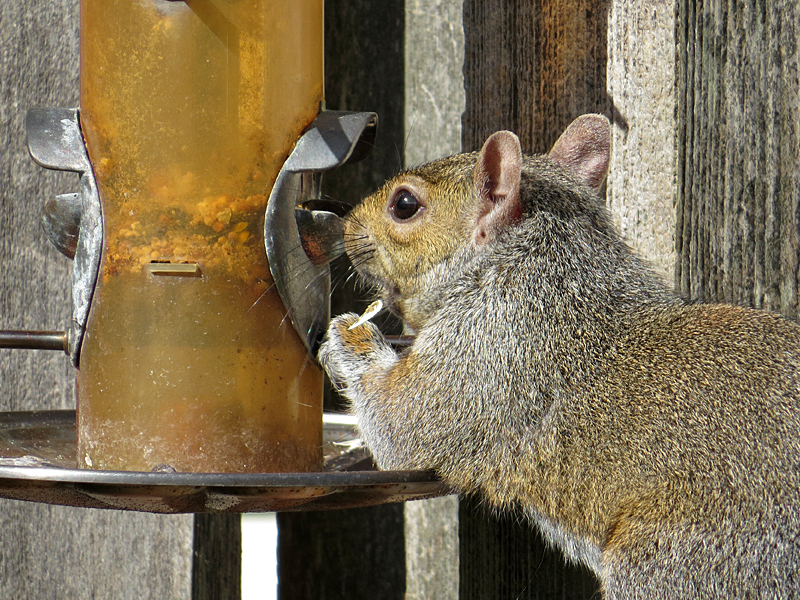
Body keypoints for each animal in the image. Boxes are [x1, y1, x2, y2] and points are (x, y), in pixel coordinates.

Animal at [318, 115, 800, 596]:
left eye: (404, 204)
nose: (344, 228)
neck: (536, 269)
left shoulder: (489, 353)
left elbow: (400, 427)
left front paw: (347, 337)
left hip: (676, 564)